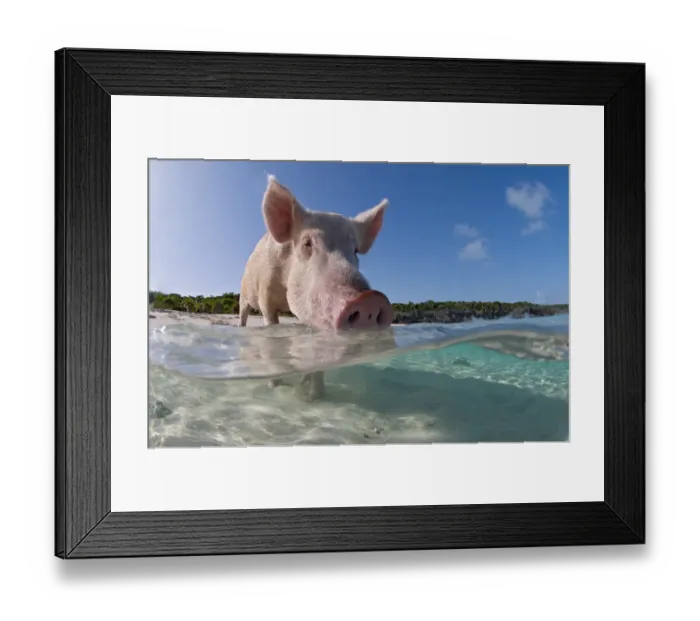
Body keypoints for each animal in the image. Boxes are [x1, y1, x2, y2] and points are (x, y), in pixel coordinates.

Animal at [238, 174, 394, 400]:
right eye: (307, 244)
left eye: (355, 250)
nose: (371, 300)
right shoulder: (265, 297)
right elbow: (272, 335)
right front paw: (276, 387)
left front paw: (314, 397)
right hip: (243, 296)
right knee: (242, 317)